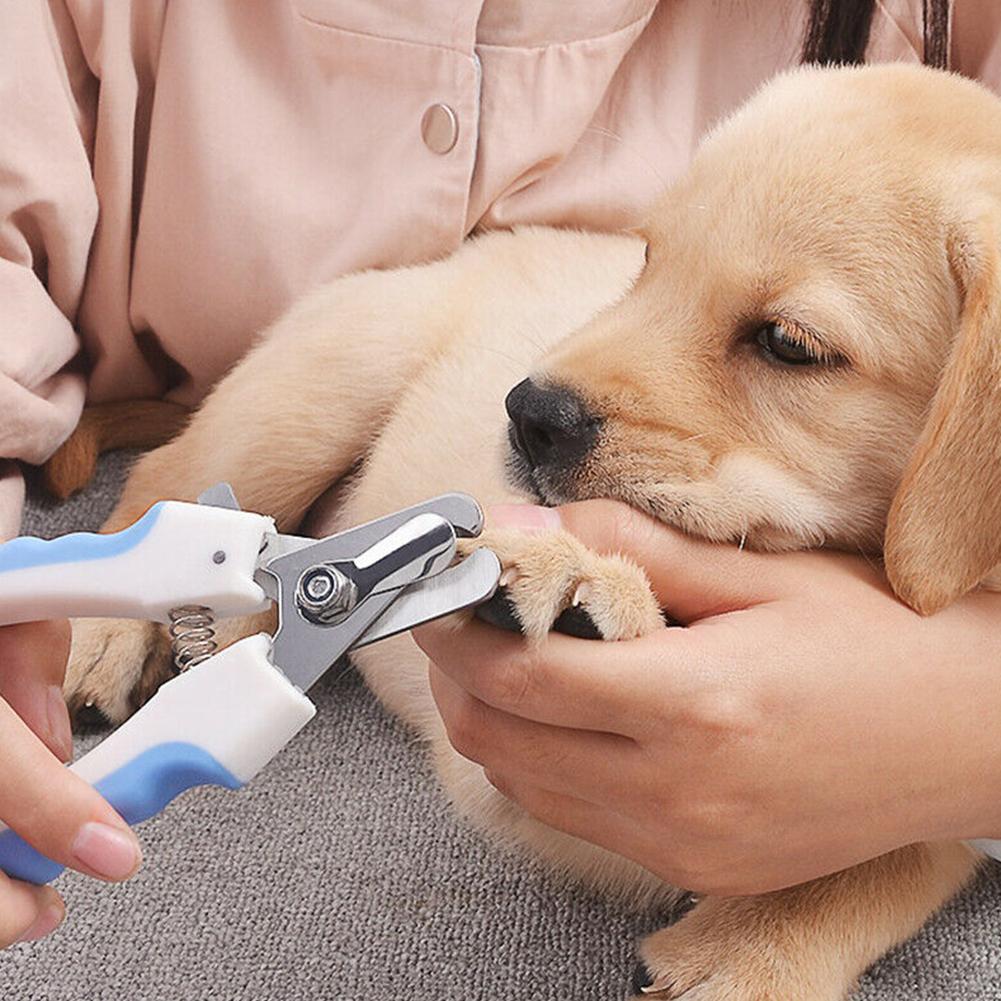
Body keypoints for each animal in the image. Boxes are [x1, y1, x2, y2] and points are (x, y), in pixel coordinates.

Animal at [52, 64, 1001, 1001]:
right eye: (647, 261)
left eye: (787, 344)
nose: (528, 412)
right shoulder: (499, 770)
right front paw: (583, 582)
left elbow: (898, 854)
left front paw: (753, 953)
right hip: (312, 394)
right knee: (168, 488)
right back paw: (104, 638)